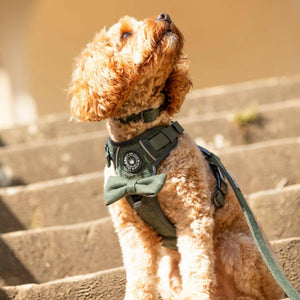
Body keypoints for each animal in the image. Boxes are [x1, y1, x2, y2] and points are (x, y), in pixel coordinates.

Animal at [69, 12, 284, 298]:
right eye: (125, 34)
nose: (164, 15)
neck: (139, 143)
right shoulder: (132, 232)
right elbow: (139, 279)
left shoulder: (192, 216)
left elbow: (198, 272)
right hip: (168, 268)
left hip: (237, 247)